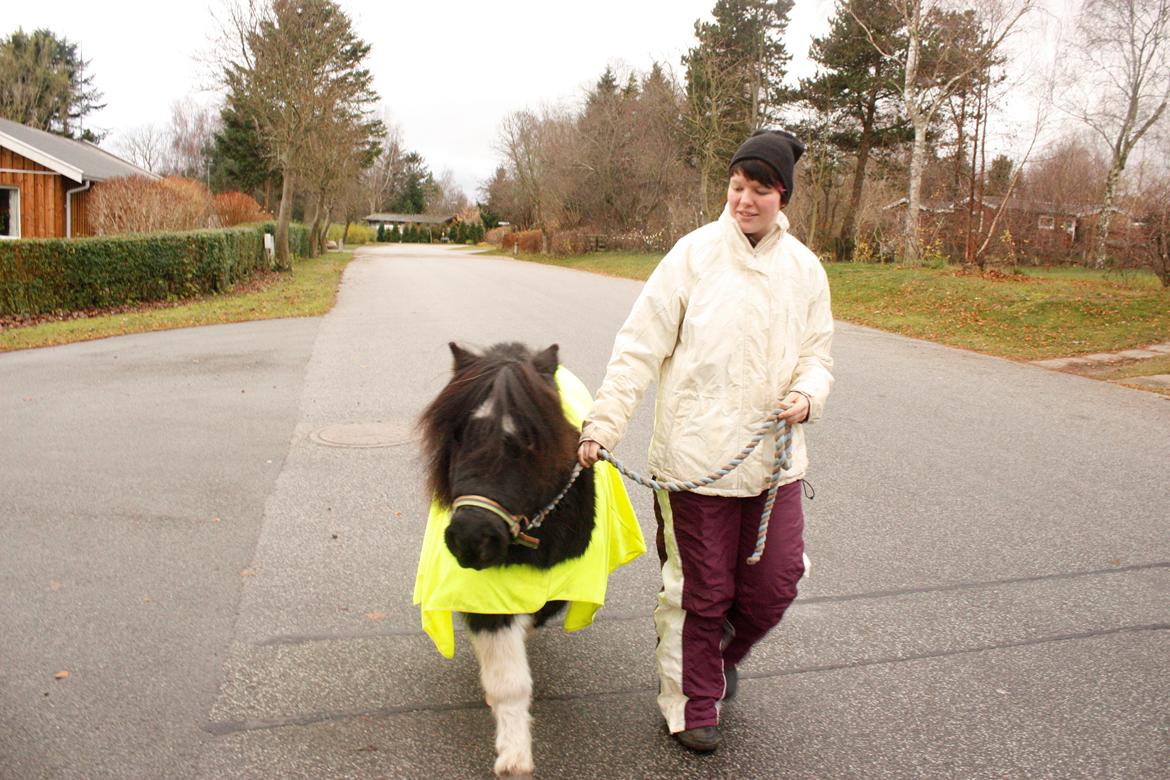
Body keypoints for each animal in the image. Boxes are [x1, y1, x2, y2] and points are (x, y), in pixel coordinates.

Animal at [418, 343, 603, 776]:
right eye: (457, 434)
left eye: (531, 442)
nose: (471, 540)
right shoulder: (483, 596)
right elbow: (507, 678)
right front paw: (514, 754)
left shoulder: (565, 580)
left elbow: (536, 618)